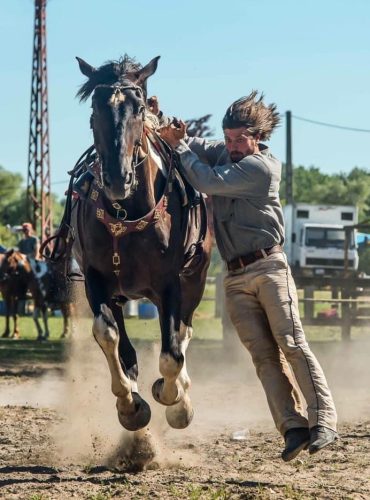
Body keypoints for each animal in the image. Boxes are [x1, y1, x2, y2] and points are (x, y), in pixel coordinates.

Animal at [72, 52, 211, 440]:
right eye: (95, 108)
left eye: (137, 108)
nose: (118, 179)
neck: (127, 212)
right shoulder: (96, 279)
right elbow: (108, 335)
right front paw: (129, 405)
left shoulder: (170, 284)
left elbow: (172, 354)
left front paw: (175, 400)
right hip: (120, 292)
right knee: (125, 344)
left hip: (195, 278)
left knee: (183, 332)